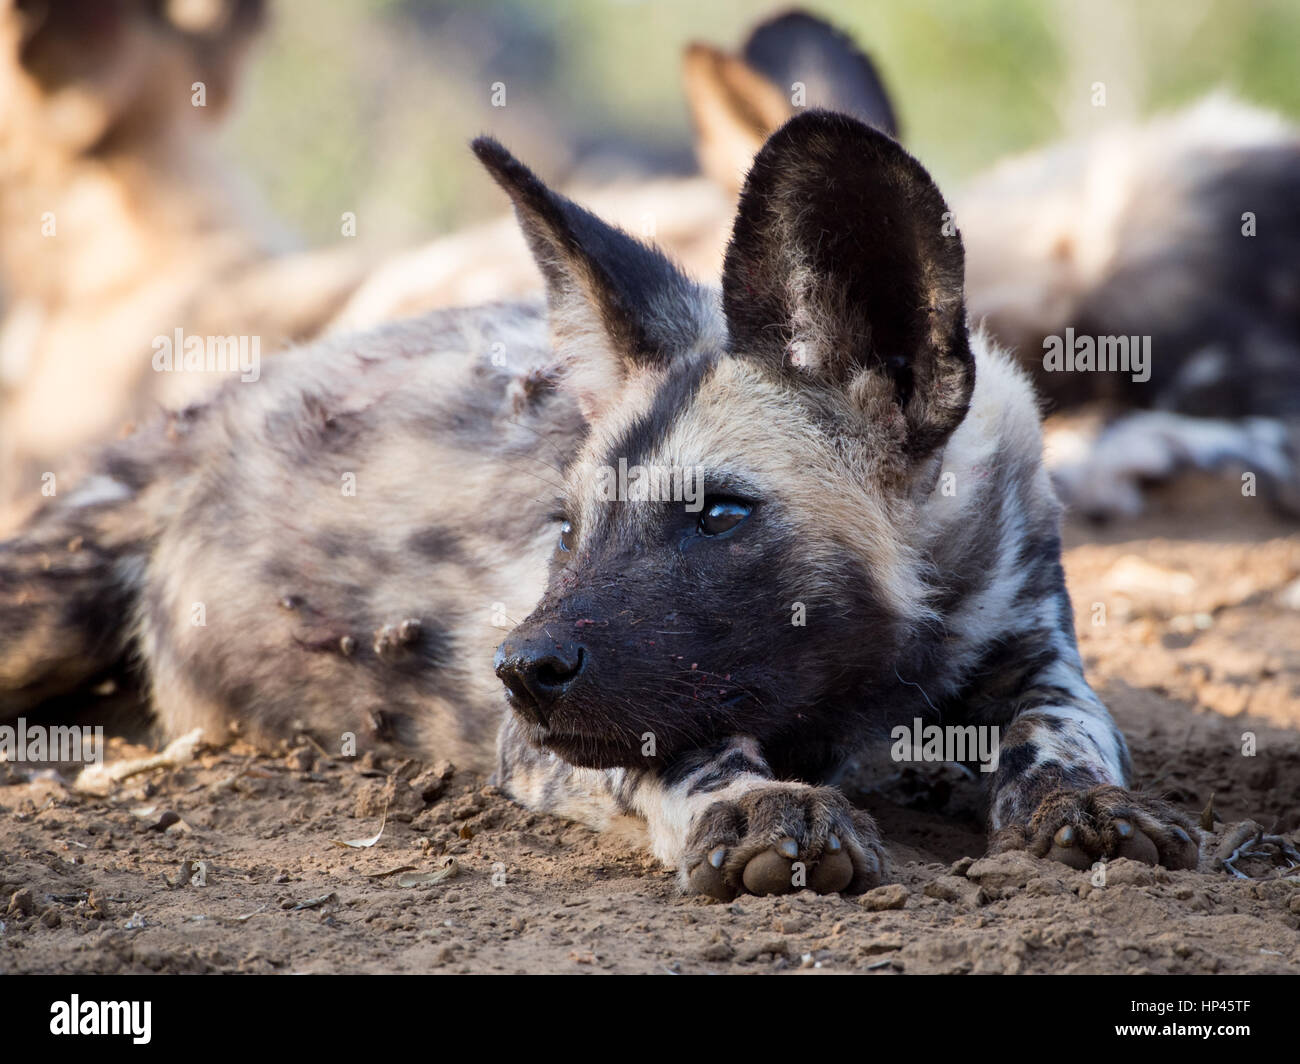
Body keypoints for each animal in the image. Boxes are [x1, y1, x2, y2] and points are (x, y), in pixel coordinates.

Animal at [0, 109, 1196, 894]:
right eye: (568, 525)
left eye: (720, 513)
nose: (518, 667)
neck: (872, 676)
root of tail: (219, 400)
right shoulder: (545, 742)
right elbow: (686, 749)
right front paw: (754, 805)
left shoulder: (1038, 651)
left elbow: (1065, 724)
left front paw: (1085, 803)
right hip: (44, 613)